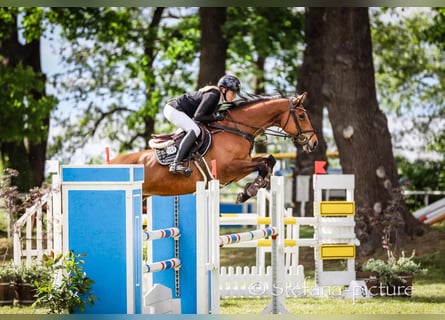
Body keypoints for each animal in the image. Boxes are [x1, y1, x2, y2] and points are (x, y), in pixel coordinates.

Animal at [112, 92, 320, 202]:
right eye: (302, 116)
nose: (314, 142)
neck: (237, 129)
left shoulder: (242, 163)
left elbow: (269, 160)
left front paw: (251, 189)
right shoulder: (228, 168)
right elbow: (262, 165)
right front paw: (249, 191)